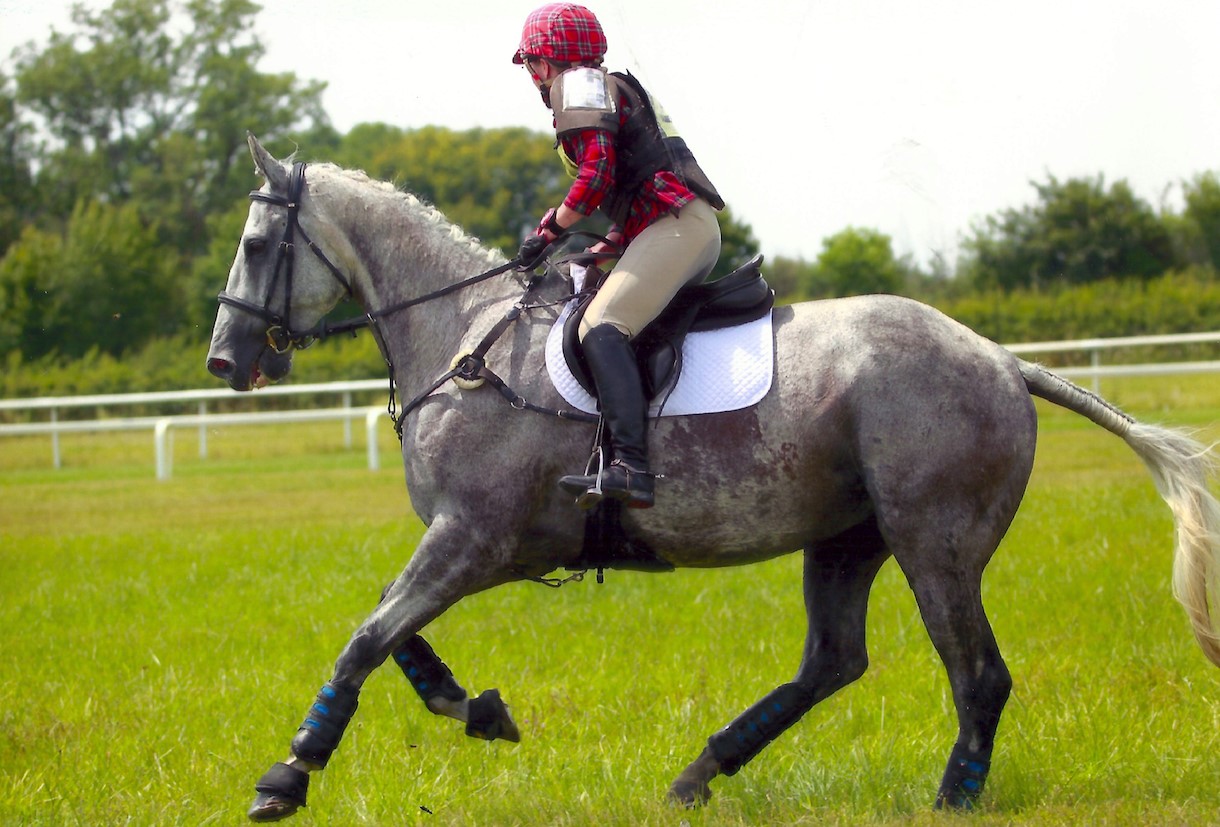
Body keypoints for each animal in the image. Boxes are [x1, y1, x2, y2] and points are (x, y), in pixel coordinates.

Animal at [204, 136, 1215, 824]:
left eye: (254, 245)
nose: (224, 360)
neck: (464, 337)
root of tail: (1005, 362)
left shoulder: (472, 538)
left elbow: (367, 637)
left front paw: (289, 772)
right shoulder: (467, 543)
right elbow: (395, 633)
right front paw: (478, 709)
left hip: (936, 543)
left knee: (977, 673)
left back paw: (950, 797)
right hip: (847, 538)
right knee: (832, 661)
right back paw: (699, 772)